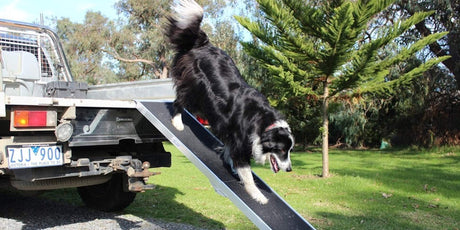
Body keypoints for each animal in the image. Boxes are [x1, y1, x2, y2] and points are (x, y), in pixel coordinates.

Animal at [167, 0, 292, 205]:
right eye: (281, 150)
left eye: (290, 150)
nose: (289, 169)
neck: (263, 124)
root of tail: (204, 44)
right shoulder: (241, 144)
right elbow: (247, 174)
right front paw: (257, 195)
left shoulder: (231, 133)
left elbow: (229, 150)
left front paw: (228, 161)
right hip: (195, 89)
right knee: (179, 101)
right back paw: (177, 122)